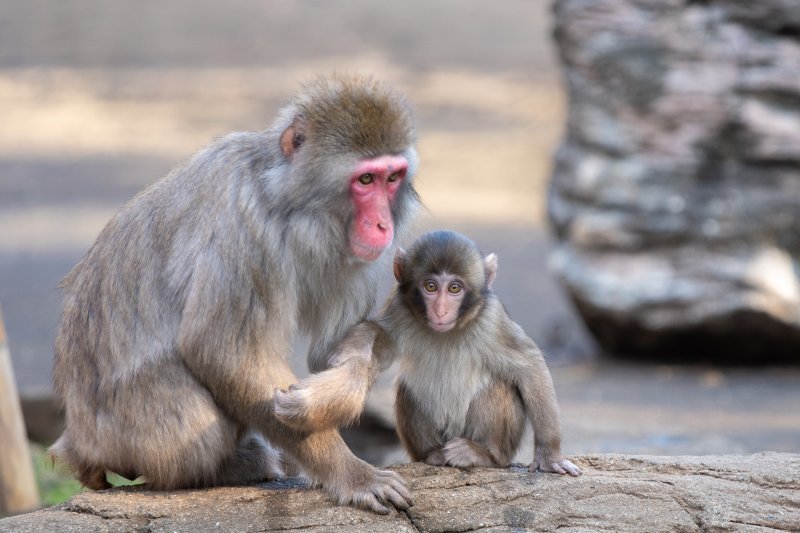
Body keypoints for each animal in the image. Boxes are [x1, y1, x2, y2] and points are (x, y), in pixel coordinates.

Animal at [51, 74, 418, 512]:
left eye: (391, 177)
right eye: (365, 180)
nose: (382, 225)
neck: (289, 204)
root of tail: (77, 435)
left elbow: (332, 350)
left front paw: (334, 394)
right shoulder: (246, 228)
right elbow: (222, 352)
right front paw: (350, 472)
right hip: (125, 428)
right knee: (200, 435)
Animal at [382, 230, 580, 474]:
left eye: (454, 288)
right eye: (430, 287)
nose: (440, 311)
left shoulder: (492, 319)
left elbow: (530, 364)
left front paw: (549, 457)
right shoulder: (396, 309)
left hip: (501, 447)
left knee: (497, 385)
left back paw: (481, 454)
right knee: (408, 388)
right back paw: (433, 454)